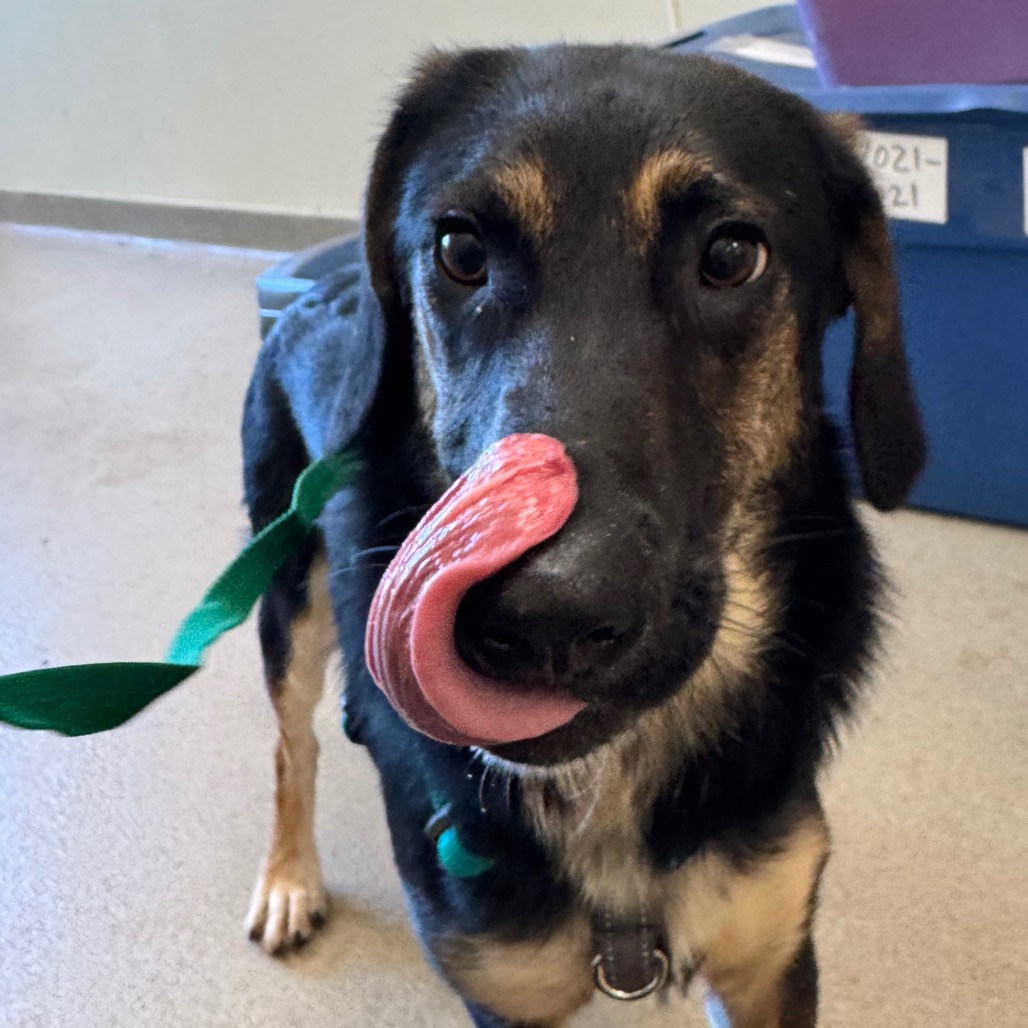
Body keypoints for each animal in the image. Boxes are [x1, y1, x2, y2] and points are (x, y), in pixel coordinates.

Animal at [240, 45, 926, 1028]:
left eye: (731, 255)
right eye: (459, 251)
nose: (545, 621)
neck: (616, 775)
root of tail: (311, 292)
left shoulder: (773, 957)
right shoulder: (503, 988)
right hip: (286, 590)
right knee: (289, 746)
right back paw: (289, 879)